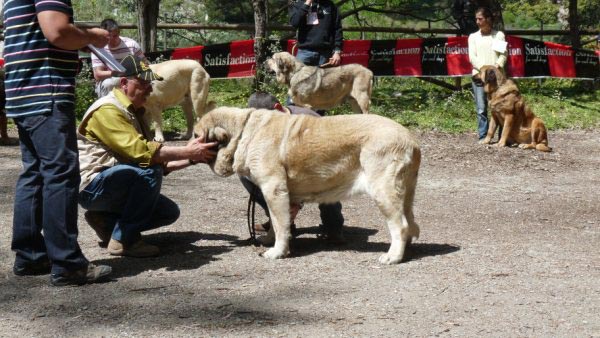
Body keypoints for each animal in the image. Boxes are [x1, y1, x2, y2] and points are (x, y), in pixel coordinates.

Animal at [195, 106, 420, 264]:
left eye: (197, 136)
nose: (190, 143)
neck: (244, 131)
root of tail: (412, 141)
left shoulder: (273, 189)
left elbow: (280, 224)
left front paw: (277, 251)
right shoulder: (281, 196)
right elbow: (277, 222)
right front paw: (269, 239)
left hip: (383, 192)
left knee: (400, 225)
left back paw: (393, 256)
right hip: (406, 193)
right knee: (409, 221)